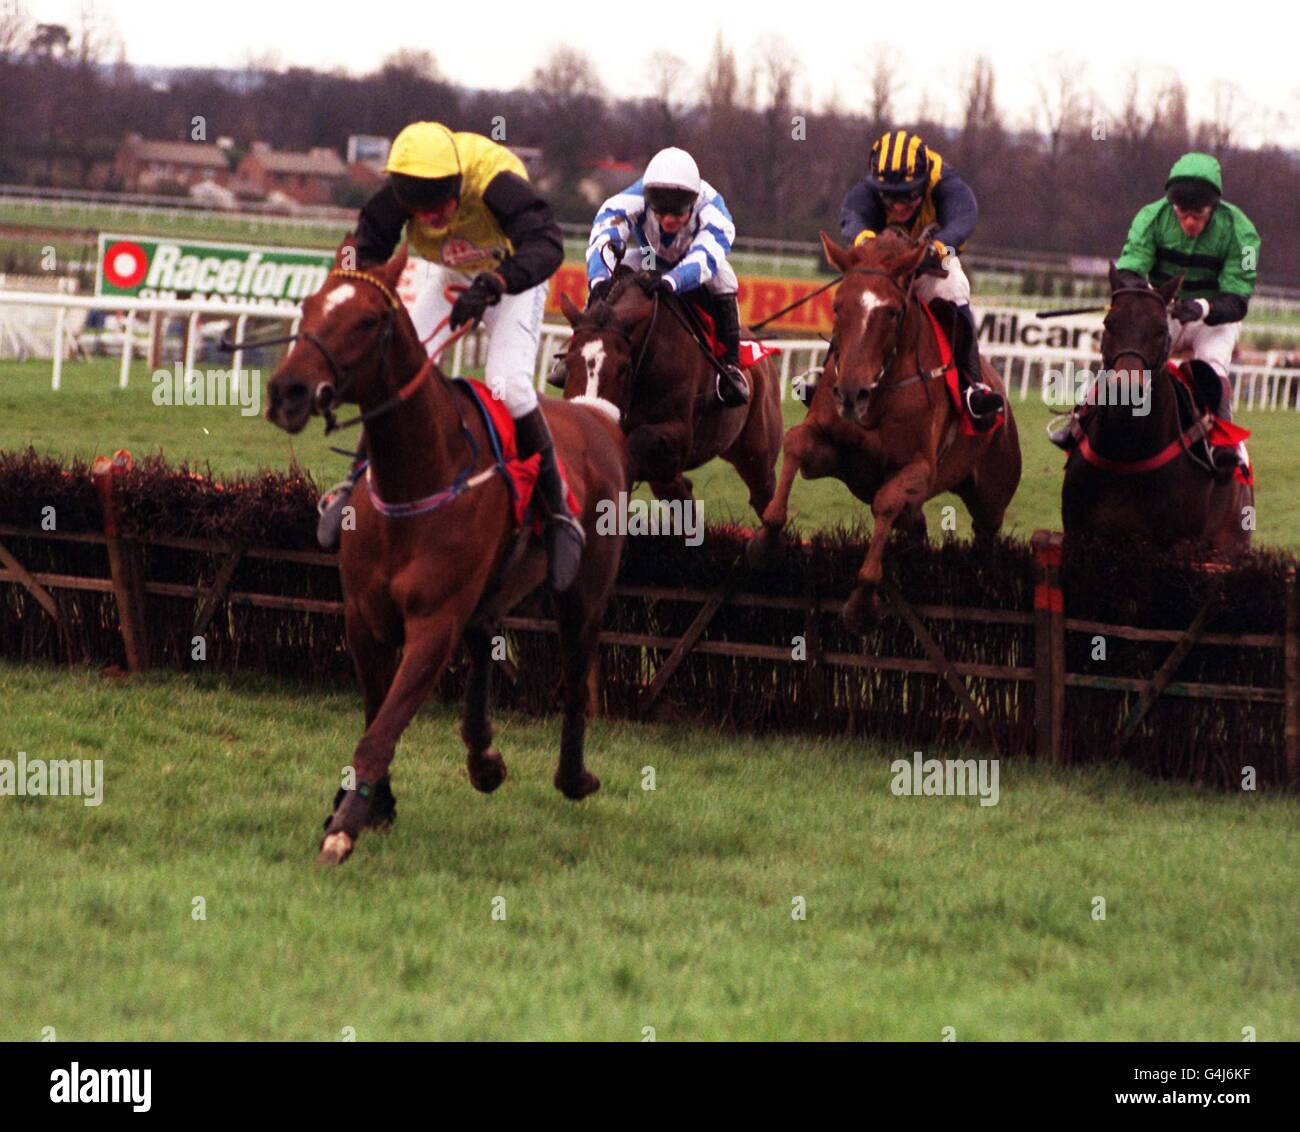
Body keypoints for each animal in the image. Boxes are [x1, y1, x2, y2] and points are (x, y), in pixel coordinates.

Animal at [265, 245, 629, 868]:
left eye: (368, 321)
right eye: (308, 304)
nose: (287, 391)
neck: (417, 478)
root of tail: (596, 415)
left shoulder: (434, 621)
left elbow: (383, 727)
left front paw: (346, 826)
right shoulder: (363, 618)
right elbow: (376, 712)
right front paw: (373, 804)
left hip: (584, 594)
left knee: (576, 676)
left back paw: (573, 776)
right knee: (484, 641)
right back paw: (484, 759)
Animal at [551, 270, 774, 522]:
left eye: (623, 367)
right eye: (568, 362)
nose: (591, 414)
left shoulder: (679, 436)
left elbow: (636, 444)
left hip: (758, 454)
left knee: (765, 499)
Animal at [754, 227, 1024, 629]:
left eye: (893, 312)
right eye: (838, 306)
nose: (851, 393)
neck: (878, 392)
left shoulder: (920, 469)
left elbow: (887, 501)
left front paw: (862, 601)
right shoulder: (832, 453)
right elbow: (796, 442)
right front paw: (766, 544)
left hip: (992, 494)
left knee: (984, 535)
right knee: (917, 527)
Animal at [1060, 265, 1253, 548]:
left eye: (1161, 329)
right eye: (1108, 323)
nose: (1125, 393)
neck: (1126, 452)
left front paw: (1194, 308)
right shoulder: (1077, 533)